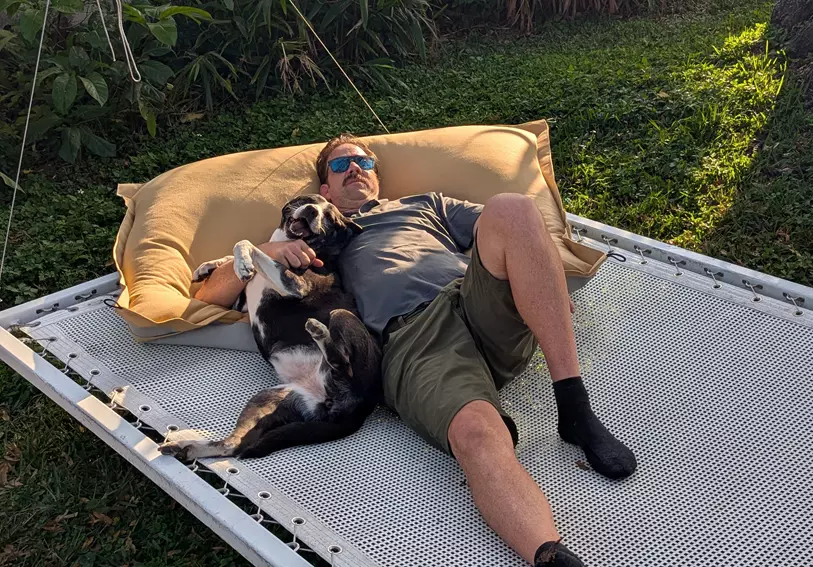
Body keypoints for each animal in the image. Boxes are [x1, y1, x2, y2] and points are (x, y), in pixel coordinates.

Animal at [163, 195, 386, 462]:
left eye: (330, 218)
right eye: (312, 200)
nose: (311, 211)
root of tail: (357, 412)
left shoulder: (295, 285)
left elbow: (249, 244)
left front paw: (243, 263)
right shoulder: (240, 304)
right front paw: (210, 266)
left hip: (341, 321)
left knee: (341, 361)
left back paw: (319, 332)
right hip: (267, 399)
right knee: (233, 445)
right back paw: (185, 447)